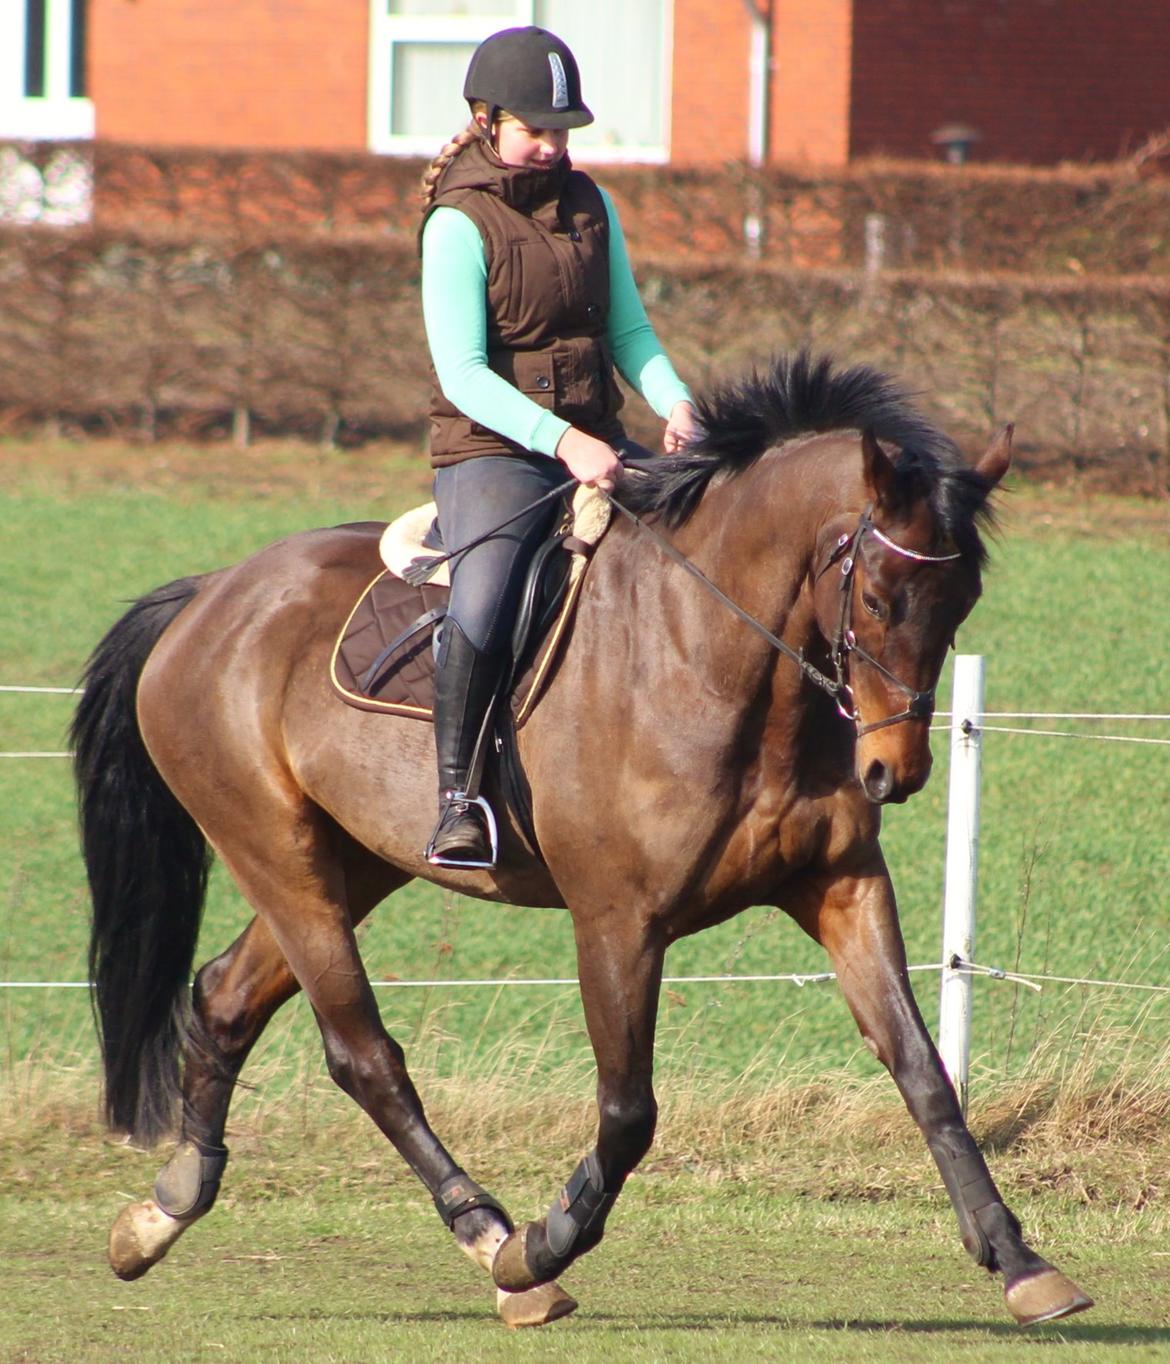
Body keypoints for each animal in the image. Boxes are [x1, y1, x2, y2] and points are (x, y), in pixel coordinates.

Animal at [75, 354, 1096, 1331]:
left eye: (962, 599)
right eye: (879, 598)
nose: (895, 770)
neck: (712, 658)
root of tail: (214, 594)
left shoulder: (842, 885)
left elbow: (924, 1072)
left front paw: (1022, 1263)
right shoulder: (617, 922)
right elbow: (629, 1110)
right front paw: (542, 1246)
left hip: (349, 862)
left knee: (225, 999)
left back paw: (164, 1210)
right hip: (279, 857)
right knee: (363, 1053)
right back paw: (492, 1244)